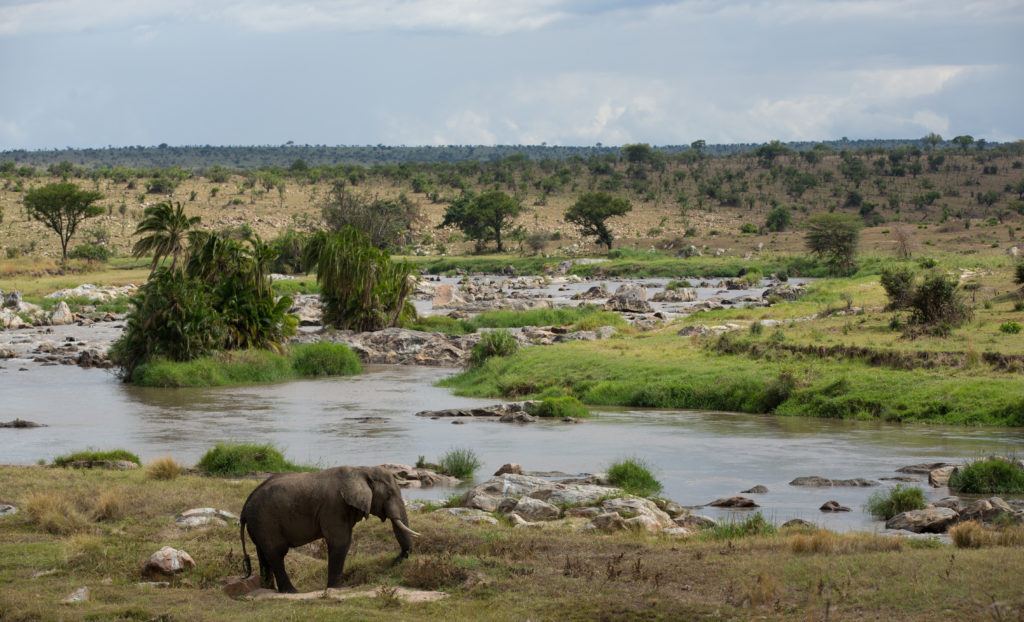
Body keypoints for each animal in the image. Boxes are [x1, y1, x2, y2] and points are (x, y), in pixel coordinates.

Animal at [237, 467, 417, 594]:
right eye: (389, 494)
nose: (395, 561)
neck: (362, 470)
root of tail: (244, 508)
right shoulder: (334, 507)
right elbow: (341, 542)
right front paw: (338, 588)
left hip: (259, 524)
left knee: (263, 553)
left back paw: (268, 589)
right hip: (266, 522)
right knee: (276, 553)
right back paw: (291, 592)